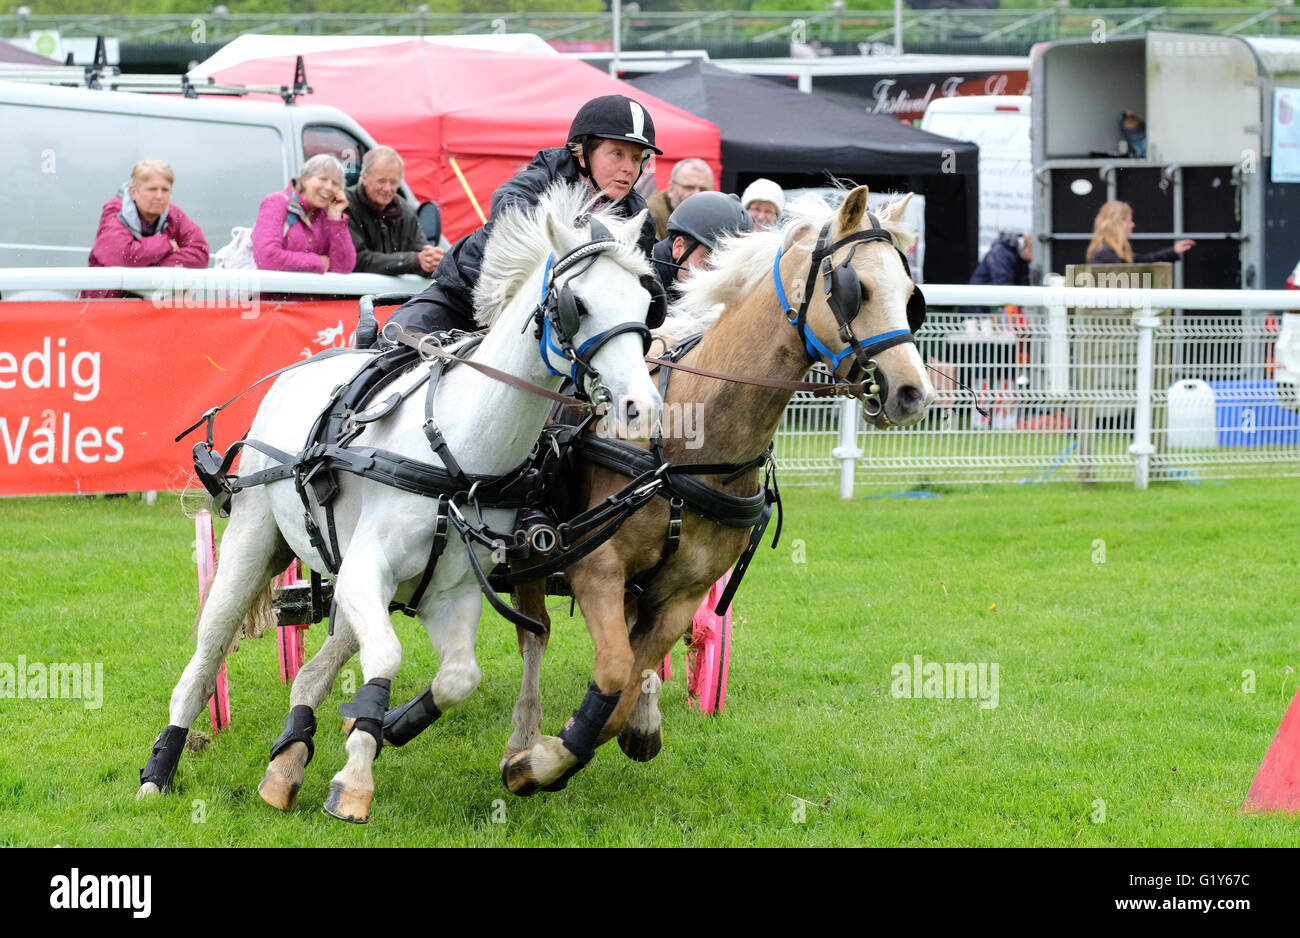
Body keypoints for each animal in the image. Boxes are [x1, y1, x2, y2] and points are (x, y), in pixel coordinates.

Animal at [135, 183, 660, 821]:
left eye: (647, 300)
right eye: (576, 303)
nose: (641, 406)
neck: (457, 451)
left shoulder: (449, 594)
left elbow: (459, 677)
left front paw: (393, 727)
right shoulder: (368, 572)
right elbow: (384, 658)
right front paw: (355, 779)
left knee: (310, 675)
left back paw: (287, 764)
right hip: (253, 543)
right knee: (207, 657)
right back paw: (161, 769)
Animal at [491, 183, 941, 789]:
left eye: (911, 294)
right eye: (857, 290)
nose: (913, 393)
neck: (688, 448)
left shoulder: (681, 594)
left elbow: (625, 685)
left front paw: (627, 730)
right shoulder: (595, 568)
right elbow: (611, 667)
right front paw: (536, 762)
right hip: (532, 556)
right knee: (534, 634)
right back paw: (522, 733)